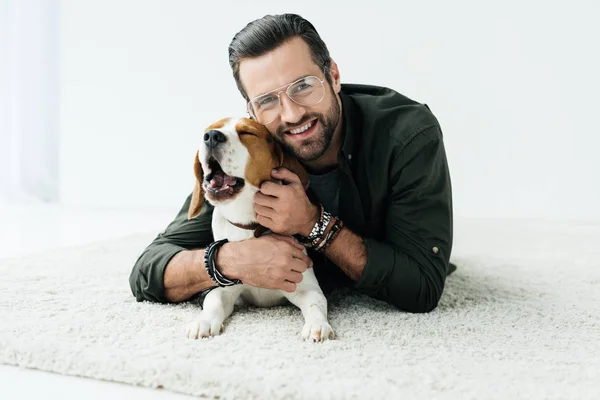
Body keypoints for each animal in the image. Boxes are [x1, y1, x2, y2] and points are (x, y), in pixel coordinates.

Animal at [185, 117, 336, 342]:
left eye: (247, 133)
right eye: (208, 129)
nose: (211, 136)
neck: (249, 227)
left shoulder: (306, 288)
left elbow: (315, 305)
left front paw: (317, 326)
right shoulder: (226, 290)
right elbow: (213, 301)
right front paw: (202, 322)